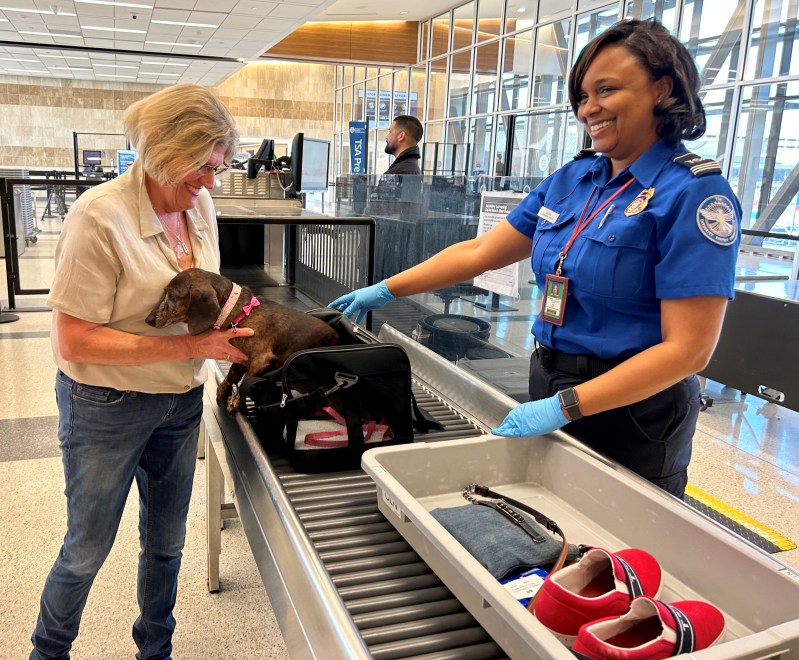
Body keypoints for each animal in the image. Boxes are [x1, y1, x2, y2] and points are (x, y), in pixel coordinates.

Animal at [145, 266, 340, 412]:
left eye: (172, 295)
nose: (148, 320)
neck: (240, 312)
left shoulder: (260, 360)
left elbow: (245, 381)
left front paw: (235, 401)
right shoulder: (240, 359)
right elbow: (231, 375)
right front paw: (222, 391)